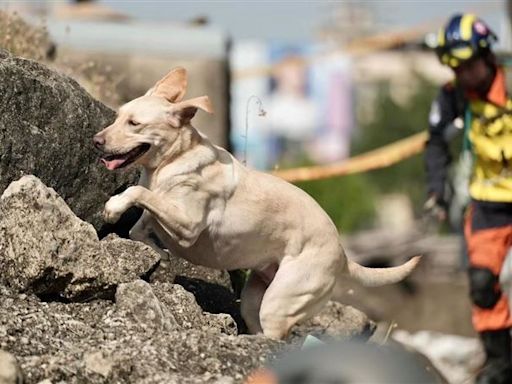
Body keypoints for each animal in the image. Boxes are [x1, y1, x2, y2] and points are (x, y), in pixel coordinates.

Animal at [93, 67, 420, 338]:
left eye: (134, 123)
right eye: (118, 116)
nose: (96, 141)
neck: (174, 160)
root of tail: (342, 254)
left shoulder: (189, 226)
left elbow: (140, 194)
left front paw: (114, 207)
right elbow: (139, 225)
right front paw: (156, 249)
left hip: (280, 302)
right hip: (253, 302)